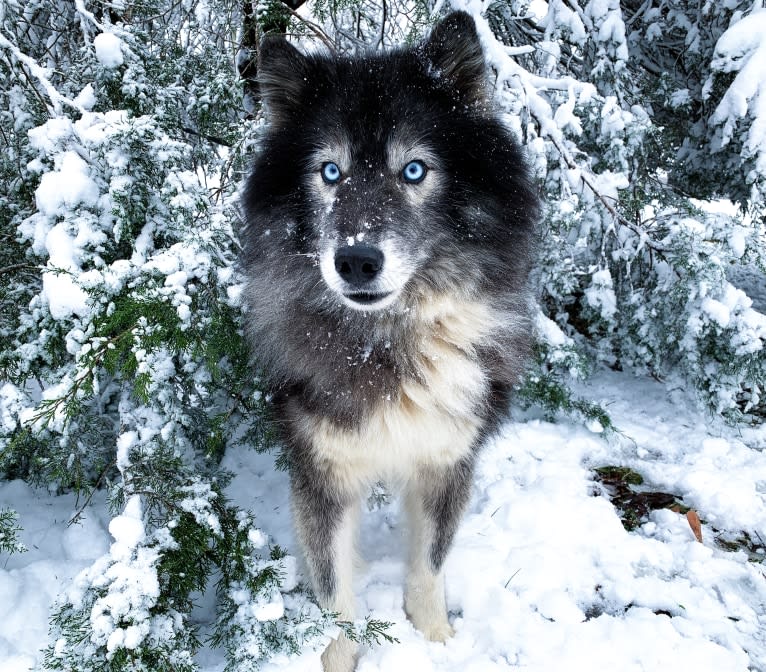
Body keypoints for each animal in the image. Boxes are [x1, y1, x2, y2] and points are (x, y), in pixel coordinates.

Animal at [244, 11, 540, 672]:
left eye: (414, 170)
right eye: (330, 172)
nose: (355, 260)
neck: (386, 341)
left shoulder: (447, 459)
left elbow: (429, 566)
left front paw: (437, 642)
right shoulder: (323, 472)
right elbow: (334, 598)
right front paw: (336, 656)